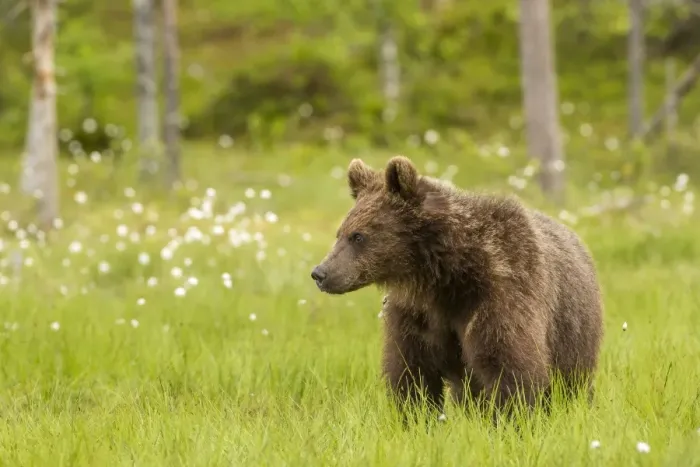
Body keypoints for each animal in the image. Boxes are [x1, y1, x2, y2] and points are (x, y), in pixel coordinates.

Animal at [311, 155, 604, 420]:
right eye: (340, 233)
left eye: (358, 236)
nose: (320, 273)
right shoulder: (416, 314)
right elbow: (412, 372)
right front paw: (416, 419)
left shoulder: (501, 293)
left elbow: (509, 366)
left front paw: (512, 420)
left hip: (572, 329)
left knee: (573, 381)